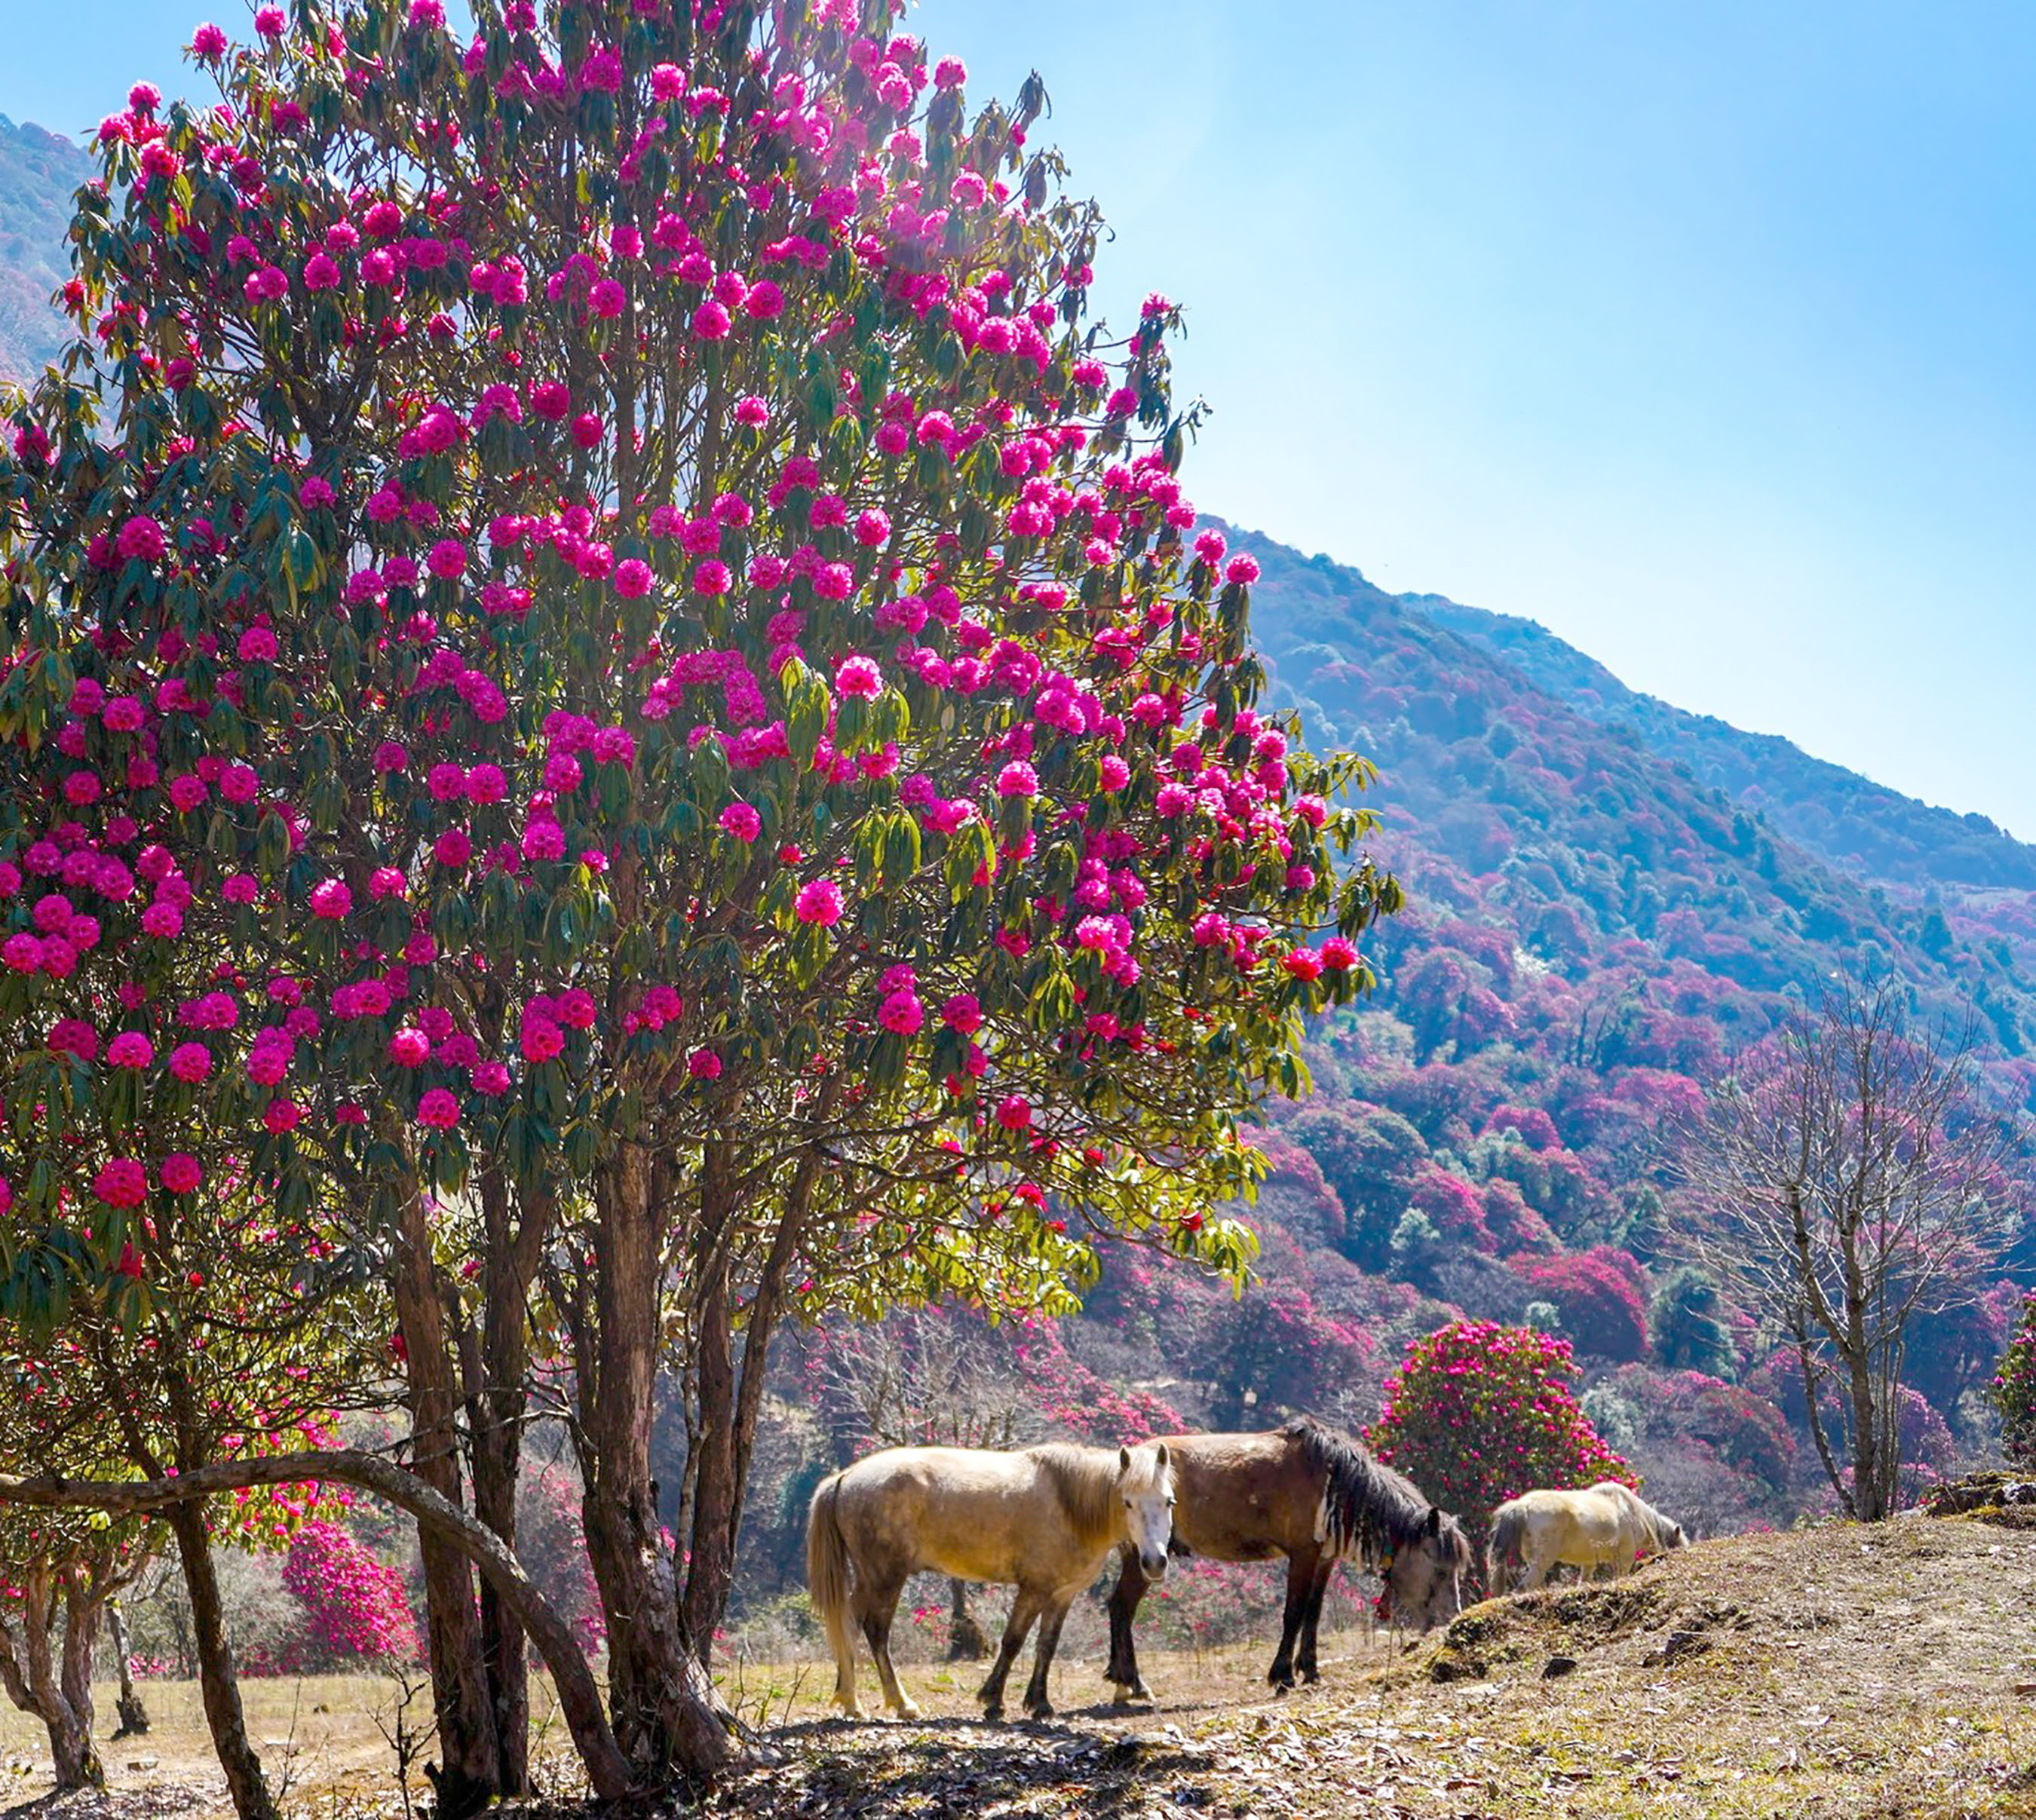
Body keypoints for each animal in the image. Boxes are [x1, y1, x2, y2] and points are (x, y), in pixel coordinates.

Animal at [802, 1441, 1173, 1726]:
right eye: (1128, 1502)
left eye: (1169, 1501)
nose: (1154, 1562)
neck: (1070, 1505)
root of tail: (845, 1478)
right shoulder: (1034, 1589)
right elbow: (1013, 1641)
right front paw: (993, 1700)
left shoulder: (1061, 1595)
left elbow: (1046, 1646)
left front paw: (1040, 1704)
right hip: (885, 1578)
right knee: (876, 1632)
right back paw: (902, 1704)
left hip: (869, 1579)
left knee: (847, 1625)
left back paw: (851, 1702)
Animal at [1099, 1417, 1466, 1702]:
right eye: (1441, 1571)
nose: (1451, 1619)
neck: (1331, 1481)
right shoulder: (1302, 1555)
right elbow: (1294, 1614)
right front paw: (1283, 1675)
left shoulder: (1323, 1559)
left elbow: (1313, 1615)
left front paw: (1311, 1670)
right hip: (1146, 1557)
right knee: (1123, 1608)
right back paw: (1134, 1682)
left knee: (1118, 1607)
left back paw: (1121, 1678)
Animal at [1482, 1481, 1685, 1595]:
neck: (1632, 1511)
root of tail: (1521, 1506)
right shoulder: (1625, 1558)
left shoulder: (1589, 1563)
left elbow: (1585, 1580)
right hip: (1542, 1562)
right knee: (1525, 1586)